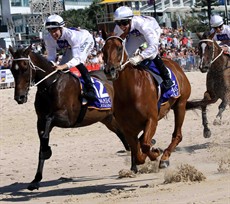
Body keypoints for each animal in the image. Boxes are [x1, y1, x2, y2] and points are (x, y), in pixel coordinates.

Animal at [8, 45, 129, 190]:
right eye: (11, 69)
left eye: (25, 67)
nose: (19, 97)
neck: (51, 85)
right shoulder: (40, 120)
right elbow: (42, 141)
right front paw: (36, 179)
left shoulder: (67, 119)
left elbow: (48, 124)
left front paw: (47, 150)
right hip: (108, 118)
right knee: (122, 134)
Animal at [101, 35, 213, 172]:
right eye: (103, 50)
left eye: (119, 48)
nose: (109, 70)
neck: (130, 92)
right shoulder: (127, 128)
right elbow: (138, 151)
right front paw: (144, 157)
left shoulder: (151, 120)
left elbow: (144, 144)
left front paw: (155, 153)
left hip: (180, 105)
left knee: (177, 135)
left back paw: (164, 158)